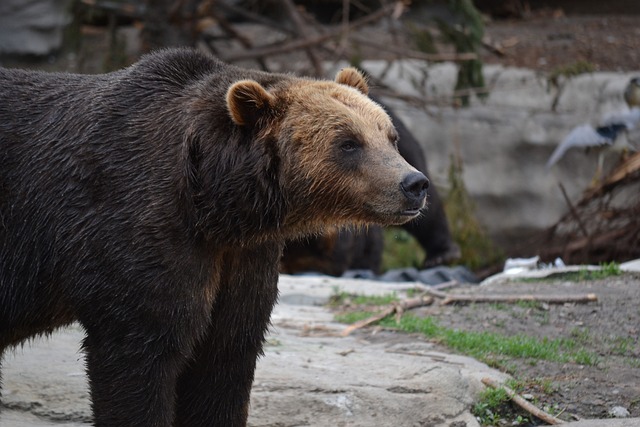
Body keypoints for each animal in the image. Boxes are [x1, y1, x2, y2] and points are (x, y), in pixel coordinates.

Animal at [1, 47, 430, 427]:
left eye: (390, 136)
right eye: (348, 143)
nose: (414, 184)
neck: (214, 204)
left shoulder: (242, 258)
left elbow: (224, 359)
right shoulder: (136, 222)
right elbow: (140, 350)